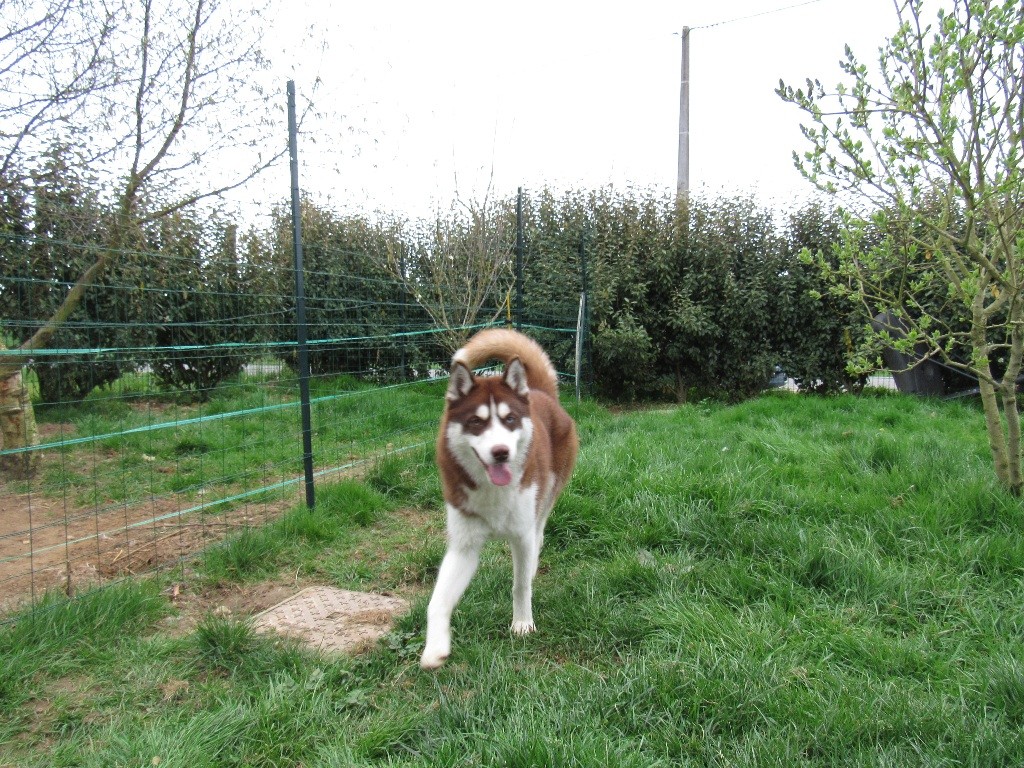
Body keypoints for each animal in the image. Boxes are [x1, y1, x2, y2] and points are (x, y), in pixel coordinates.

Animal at [419, 327, 581, 671]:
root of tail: (540, 392)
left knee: (538, 537)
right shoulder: (463, 546)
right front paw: (435, 647)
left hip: (546, 497)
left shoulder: (521, 533)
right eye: (477, 422)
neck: (493, 492)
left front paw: (522, 623)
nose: (501, 452)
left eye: (509, 420)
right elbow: (436, 600)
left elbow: (520, 585)